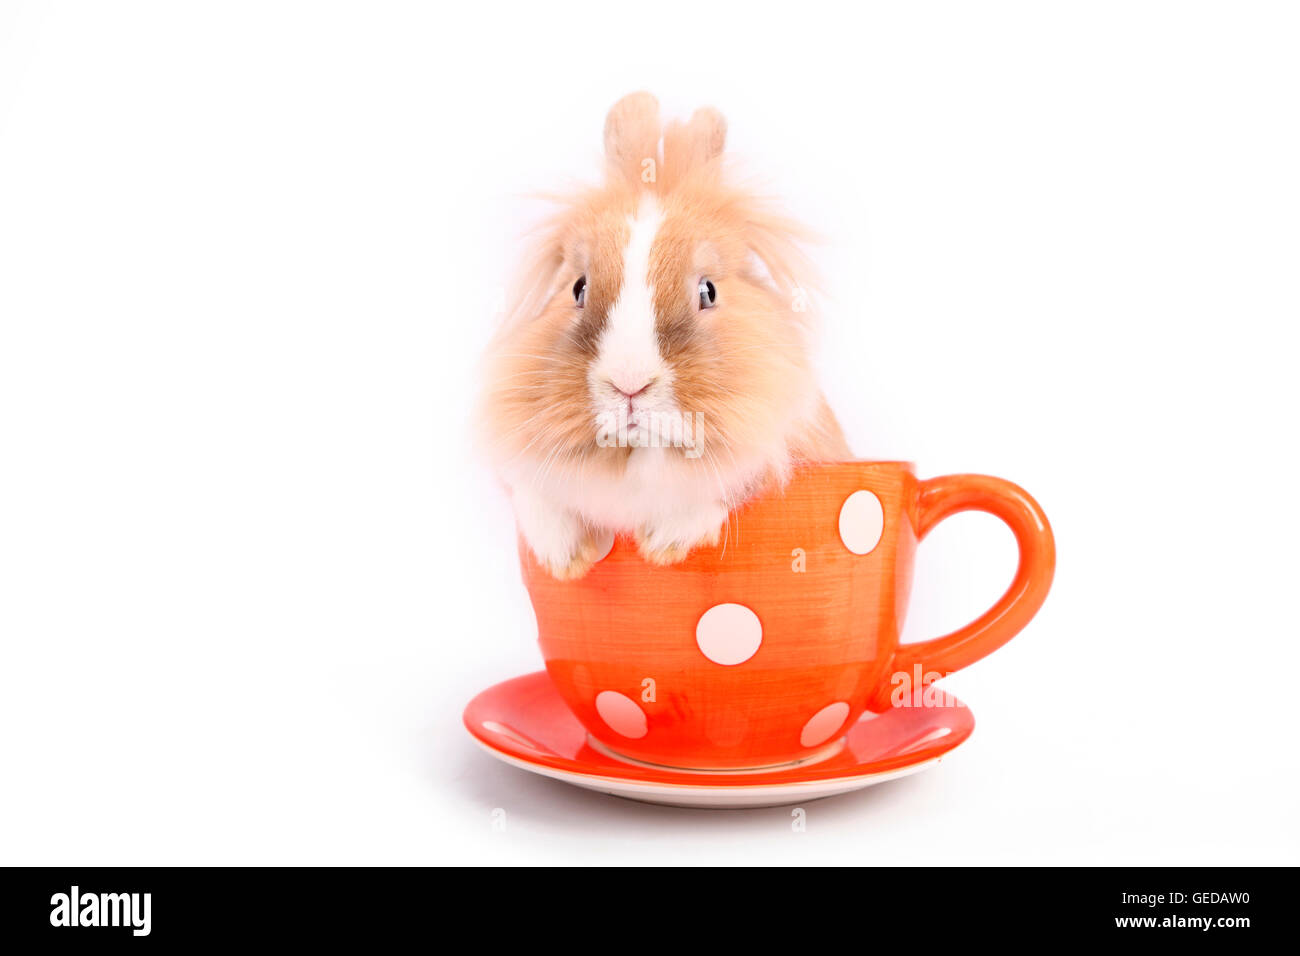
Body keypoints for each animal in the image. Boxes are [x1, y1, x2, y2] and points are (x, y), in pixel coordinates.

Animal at [479, 91, 851, 580]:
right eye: (578, 288)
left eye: (708, 291)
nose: (629, 385)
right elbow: (537, 499)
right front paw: (566, 558)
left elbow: (726, 488)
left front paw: (661, 545)